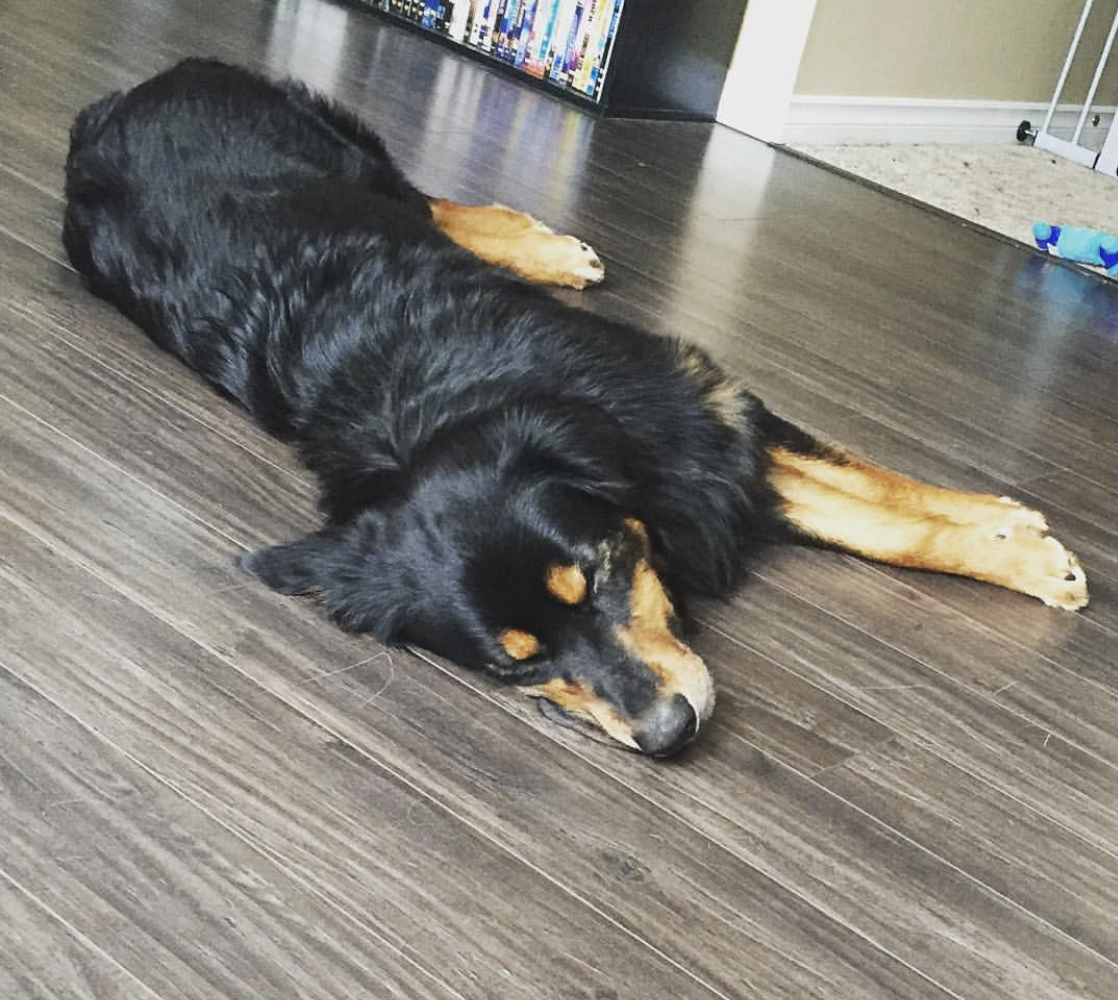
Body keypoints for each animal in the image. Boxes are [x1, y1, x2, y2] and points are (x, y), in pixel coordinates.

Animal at [63, 56, 1091, 760]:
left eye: (598, 577)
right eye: (516, 665)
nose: (671, 733)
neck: (458, 403)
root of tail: (113, 106)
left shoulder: (693, 411)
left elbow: (880, 506)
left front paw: (1019, 543)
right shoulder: (696, 447)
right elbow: (864, 516)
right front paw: (1017, 545)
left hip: (343, 152)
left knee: (422, 196)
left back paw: (544, 246)